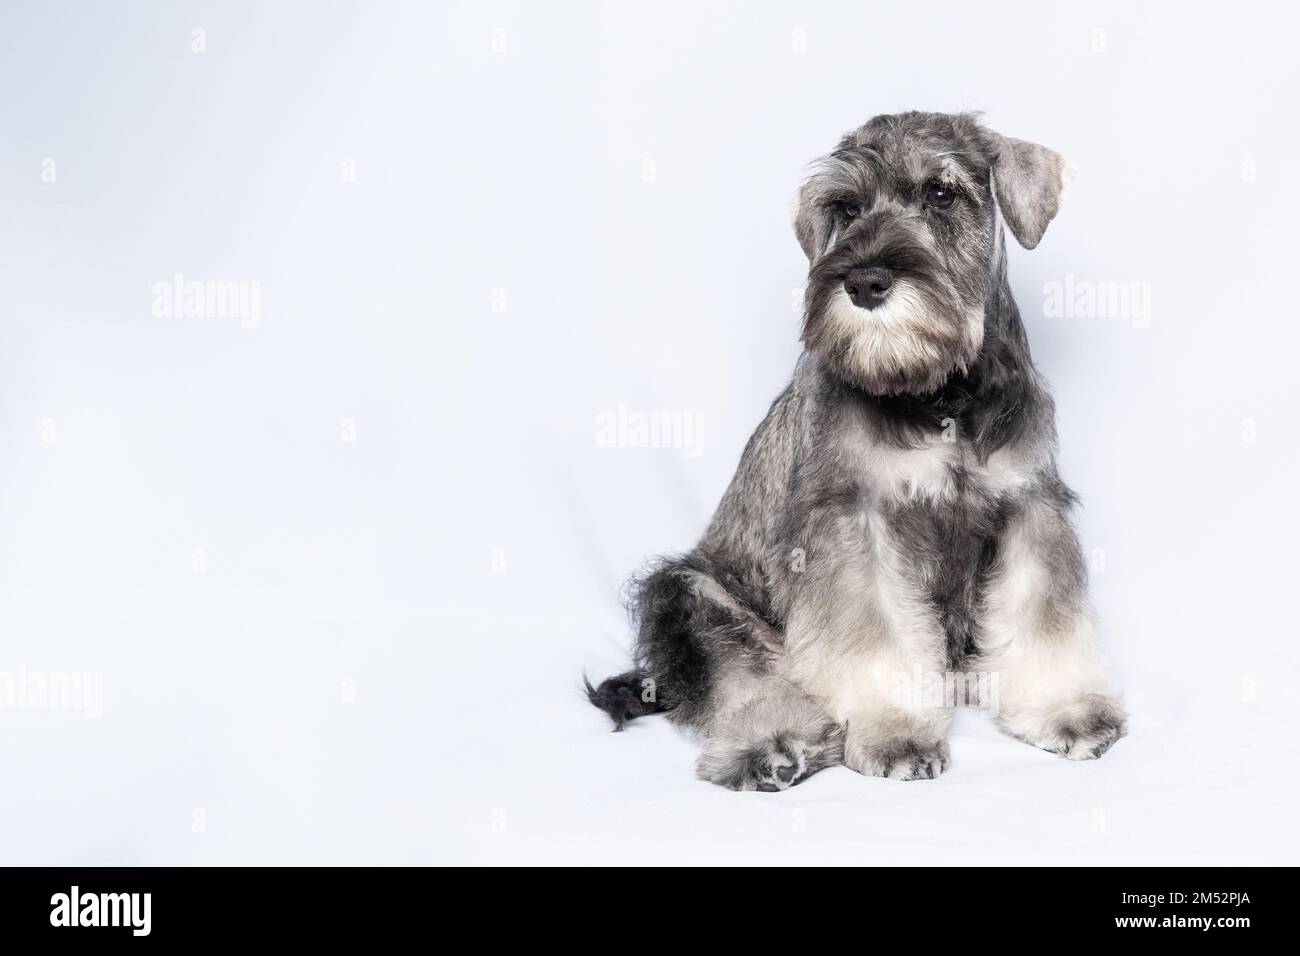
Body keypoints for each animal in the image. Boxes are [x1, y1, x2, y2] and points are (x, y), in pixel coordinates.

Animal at [585, 108, 1123, 790]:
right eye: (846, 206)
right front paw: (894, 732)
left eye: (941, 193)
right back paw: (773, 744)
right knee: (741, 677)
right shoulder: (854, 522)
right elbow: (876, 636)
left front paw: (1065, 710)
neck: (939, 392)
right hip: (690, 595)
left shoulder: (1029, 508)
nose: (865, 280)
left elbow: (1041, 616)